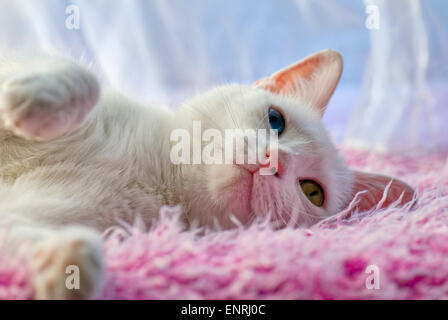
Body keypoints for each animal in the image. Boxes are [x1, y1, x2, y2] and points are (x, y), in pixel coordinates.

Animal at [0, 50, 414, 300]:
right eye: (276, 119)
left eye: (312, 192)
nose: (274, 159)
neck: (153, 169)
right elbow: (82, 75)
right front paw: (35, 100)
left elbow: (18, 235)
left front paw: (65, 266)